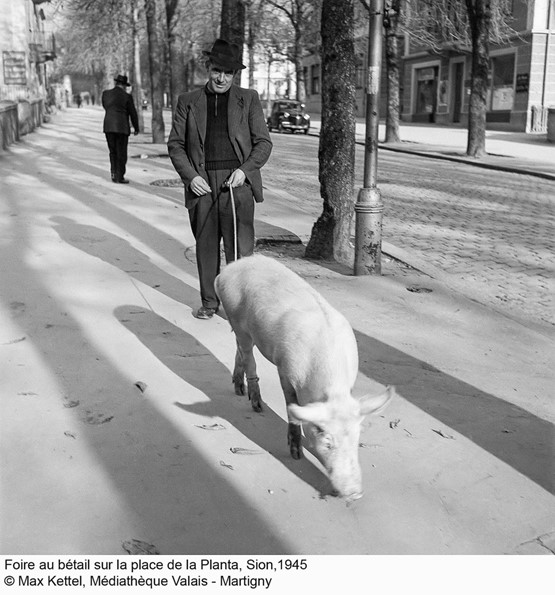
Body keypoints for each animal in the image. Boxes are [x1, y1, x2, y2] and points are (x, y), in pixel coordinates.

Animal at [215, 254, 394, 500]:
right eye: (326, 439)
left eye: (358, 438)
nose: (355, 493)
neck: (332, 390)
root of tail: (232, 267)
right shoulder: (285, 369)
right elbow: (291, 406)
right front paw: (296, 453)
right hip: (236, 318)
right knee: (248, 355)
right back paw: (256, 404)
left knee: (239, 351)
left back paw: (239, 388)